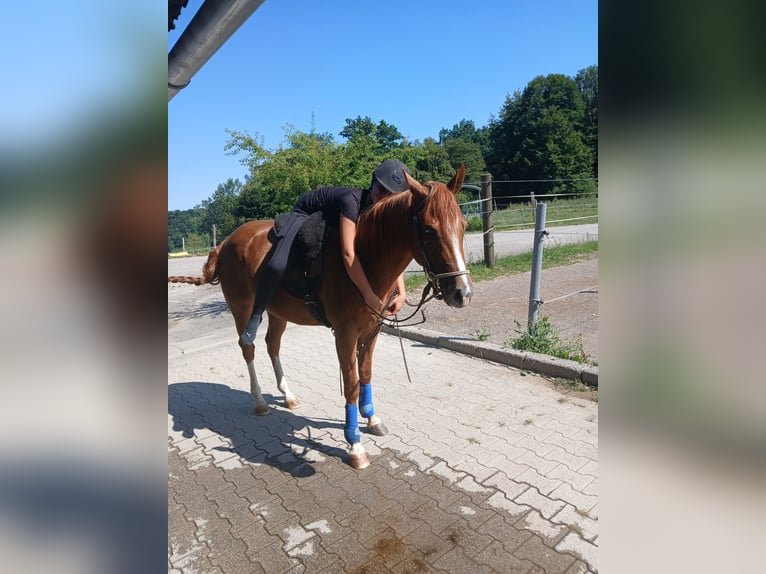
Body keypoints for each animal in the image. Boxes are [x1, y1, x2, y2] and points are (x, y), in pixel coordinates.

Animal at [168, 165, 473, 469]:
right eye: (428, 229)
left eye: (463, 225)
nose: (463, 293)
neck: (365, 260)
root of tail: (225, 243)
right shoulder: (345, 335)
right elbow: (351, 385)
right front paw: (355, 445)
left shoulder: (371, 331)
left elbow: (365, 375)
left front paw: (372, 418)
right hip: (242, 308)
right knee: (248, 346)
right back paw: (260, 401)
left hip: (277, 312)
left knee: (272, 345)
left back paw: (288, 395)